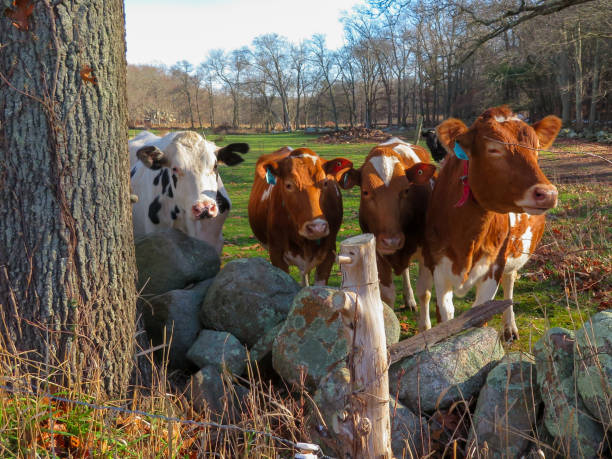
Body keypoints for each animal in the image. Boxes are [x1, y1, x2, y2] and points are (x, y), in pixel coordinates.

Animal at [416, 105, 560, 342]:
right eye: (493, 149)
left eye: (536, 149)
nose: (547, 194)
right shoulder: (439, 265)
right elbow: (446, 315)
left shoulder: (494, 266)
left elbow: (479, 316)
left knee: (510, 283)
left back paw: (509, 327)